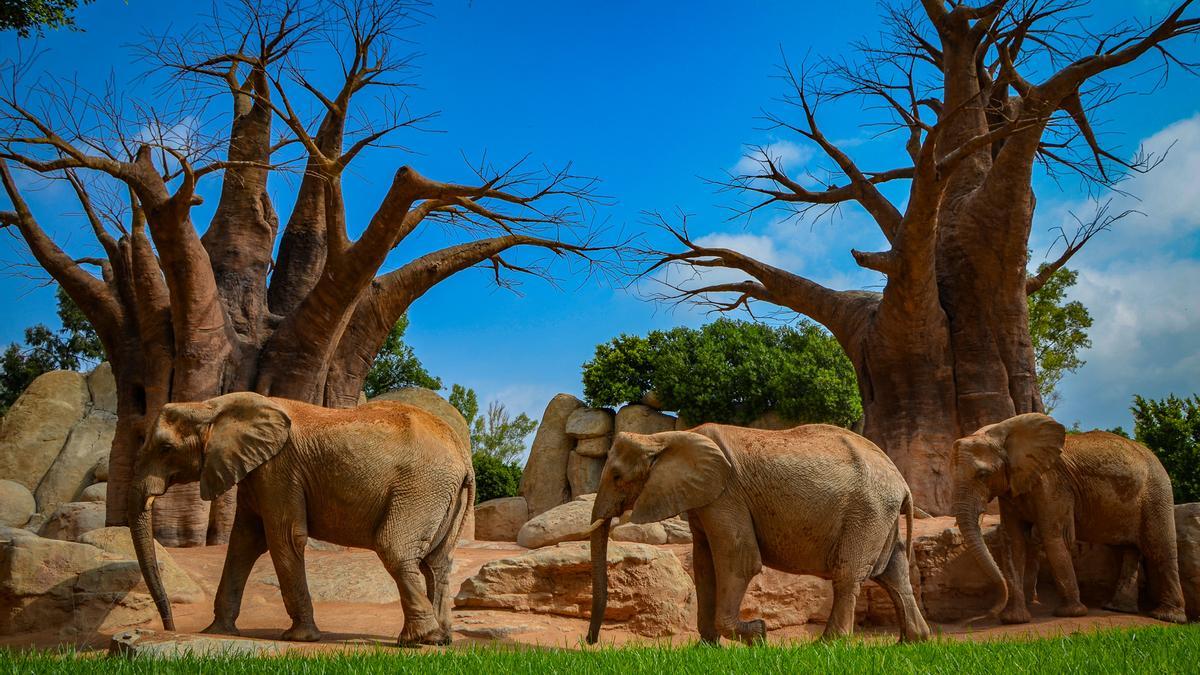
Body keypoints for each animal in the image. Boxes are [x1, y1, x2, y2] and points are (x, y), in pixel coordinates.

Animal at [127, 391, 472, 643]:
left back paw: (418, 640)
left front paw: (299, 638)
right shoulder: (257, 472)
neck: (213, 405)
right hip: (442, 495)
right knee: (437, 562)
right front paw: (216, 632)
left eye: (165, 447)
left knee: (395, 550)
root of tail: (463, 458)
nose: (170, 628)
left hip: (421, 488)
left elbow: (284, 537)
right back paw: (442, 639)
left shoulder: (279, 469)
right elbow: (244, 542)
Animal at [585, 425, 931, 638]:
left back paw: (825, 646)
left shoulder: (726, 495)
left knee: (848, 575)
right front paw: (705, 650)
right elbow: (704, 565)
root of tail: (902, 483)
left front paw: (758, 634)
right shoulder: (704, 498)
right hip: (880, 516)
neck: (665, 436)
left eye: (617, 477)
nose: (591, 642)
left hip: (868, 513)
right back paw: (912, 641)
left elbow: (739, 560)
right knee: (893, 573)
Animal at [950, 413, 1185, 624]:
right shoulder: (1013, 488)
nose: (989, 613)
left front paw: (1071, 613)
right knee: (1128, 550)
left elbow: (1054, 537)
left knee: (1159, 547)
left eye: (983, 475)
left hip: (1157, 492)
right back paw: (1117, 608)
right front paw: (1013, 619)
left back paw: (1168, 617)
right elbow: (1014, 542)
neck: (1004, 433)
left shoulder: (1052, 483)